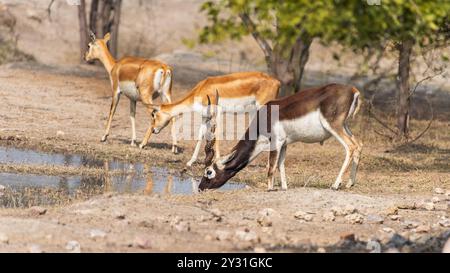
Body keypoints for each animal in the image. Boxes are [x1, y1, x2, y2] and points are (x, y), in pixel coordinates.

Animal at [146, 71, 280, 167]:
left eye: (154, 115)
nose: (153, 130)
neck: (201, 89)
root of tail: (277, 82)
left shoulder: (218, 112)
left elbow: (217, 135)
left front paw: (217, 161)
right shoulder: (205, 116)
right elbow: (200, 136)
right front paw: (190, 162)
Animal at [200, 83, 362, 191]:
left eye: (209, 171)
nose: (201, 188)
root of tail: (353, 90)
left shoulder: (275, 142)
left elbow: (271, 167)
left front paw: (270, 189)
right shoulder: (284, 144)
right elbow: (281, 165)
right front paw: (284, 187)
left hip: (334, 126)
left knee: (351, 146)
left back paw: (335, 185)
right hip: (344, 125)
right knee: (359, 145)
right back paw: (350, 183)